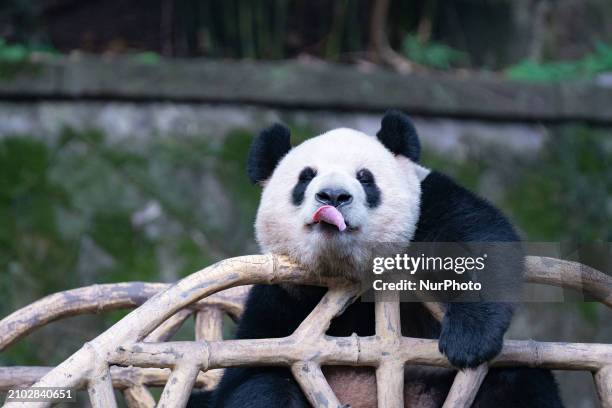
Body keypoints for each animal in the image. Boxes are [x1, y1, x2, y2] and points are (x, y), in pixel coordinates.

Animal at [189, 111, 560, 408]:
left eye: (365, 177)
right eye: (305, 177)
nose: (334, 196)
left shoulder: (428, 206)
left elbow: (478, 238)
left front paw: (468, 338)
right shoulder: (279, 302)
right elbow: (253, 375)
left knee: (515, 385)